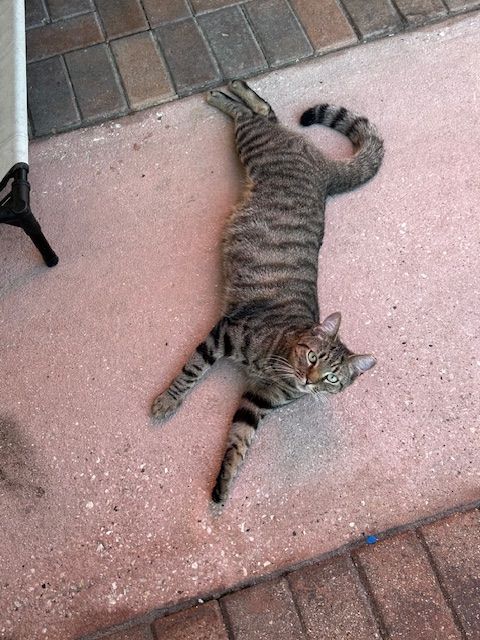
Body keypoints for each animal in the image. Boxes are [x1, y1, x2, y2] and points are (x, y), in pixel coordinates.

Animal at [152, 80, 384, 505]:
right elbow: (189, 373)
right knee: (255, 115)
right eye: (312, 356)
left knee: (265, 113)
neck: (279, 362)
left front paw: (224, 481)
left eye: (332, 378)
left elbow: (239, 441)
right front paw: (168, 399)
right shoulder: (223, 332)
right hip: (253, 142)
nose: (309, 379)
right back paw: (226, 93)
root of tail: (325, 172)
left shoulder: (257, 401)